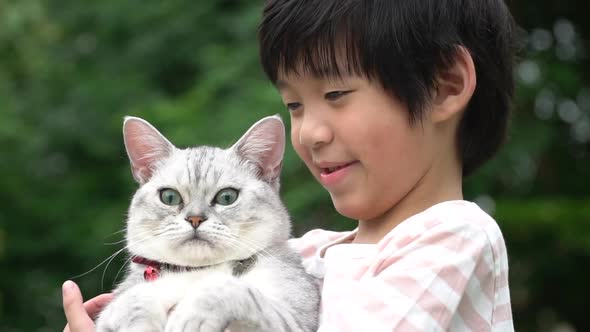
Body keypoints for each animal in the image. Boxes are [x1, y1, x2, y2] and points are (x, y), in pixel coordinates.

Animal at [95, 115, 322, 330]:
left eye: (227, 197)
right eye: (169, 197)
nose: (195, 218)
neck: (197, 271)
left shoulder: (295, 319)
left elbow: (227, 287)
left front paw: (190, 316)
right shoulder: (110, 311)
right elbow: (135, 298)